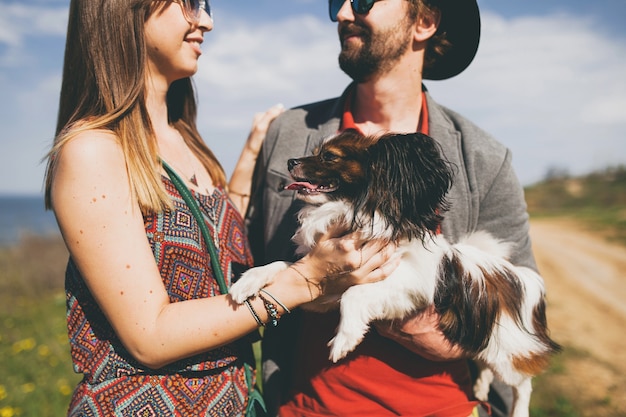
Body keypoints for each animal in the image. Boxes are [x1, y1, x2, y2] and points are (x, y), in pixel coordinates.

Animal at [229, 130, 560, 416]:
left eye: (329, 157)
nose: (290, 162)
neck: (349, 212)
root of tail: (520, 279)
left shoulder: (406, 286)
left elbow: (354, 295)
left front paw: (345, 340)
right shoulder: (326, 290)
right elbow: (283, 268)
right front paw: (248, 282)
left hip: (506, 353)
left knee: (523, 384)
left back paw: (518, 410)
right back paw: (479, 387)